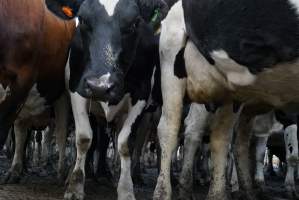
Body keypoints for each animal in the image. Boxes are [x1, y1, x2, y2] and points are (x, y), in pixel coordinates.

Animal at [0, 0, 76, 183]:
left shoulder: (19, 82)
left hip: (62, 94)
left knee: (62, 132)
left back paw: (62, 172)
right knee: (22, 131)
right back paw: (16, 170)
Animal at [156, 0, 299, 200]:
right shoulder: (289, 115)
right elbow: (293, 156)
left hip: (228, 87)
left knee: (224, 139)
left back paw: (229, 191)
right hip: (171, 54)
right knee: (174, 130)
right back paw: (166, 191)